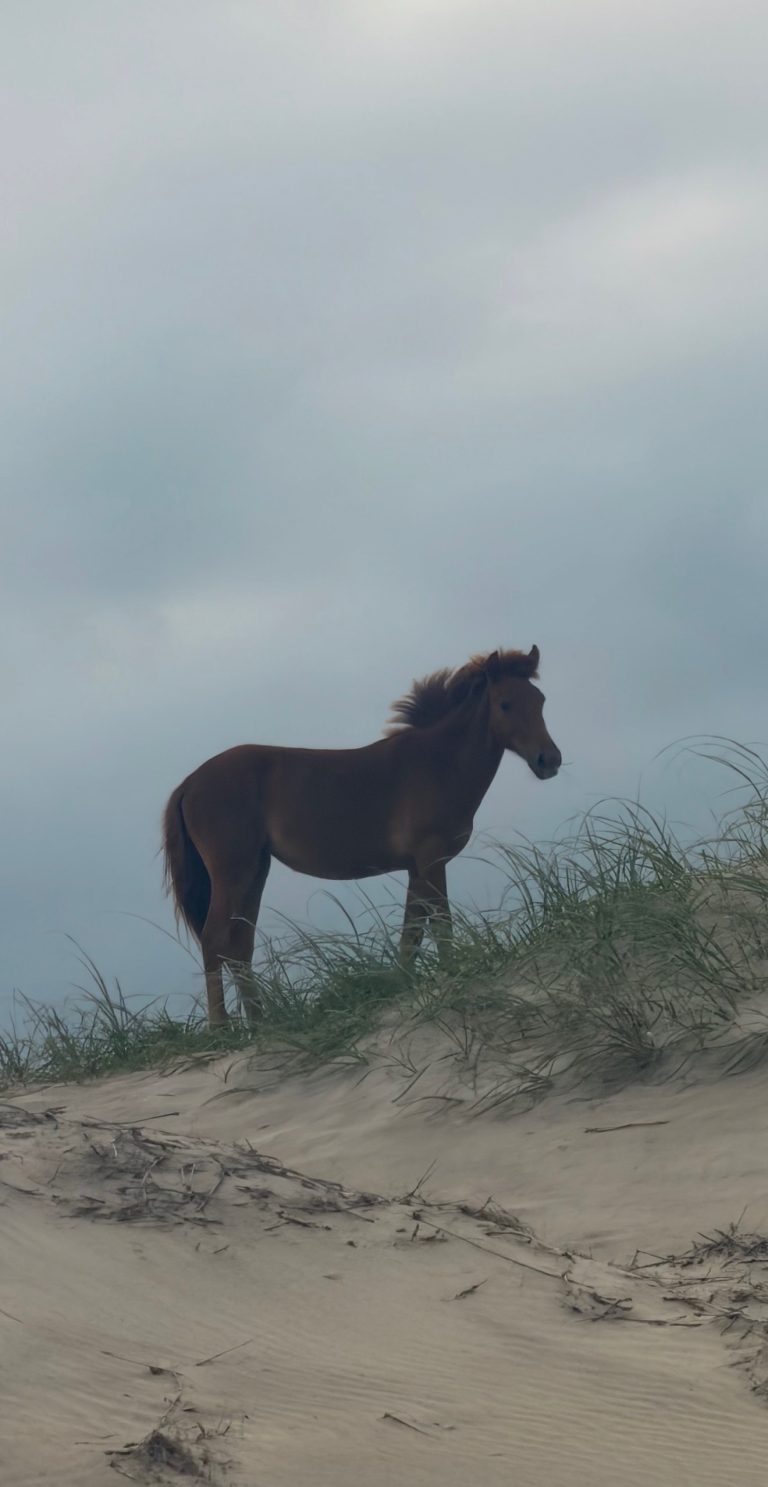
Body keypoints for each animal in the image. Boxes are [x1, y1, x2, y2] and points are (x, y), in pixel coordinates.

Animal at [162, 646, 561, 1026]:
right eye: (505, 703)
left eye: (540, 700)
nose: (549, 760)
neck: (438, 762)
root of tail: (189, 783)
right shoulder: (432, 860)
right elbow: (440, 926)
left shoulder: (417, 868)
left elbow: (412, 933)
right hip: (234, 873)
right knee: (216, 940)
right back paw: (221, 1027)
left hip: (254, 872)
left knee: (239, 946)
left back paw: (261, 1023)